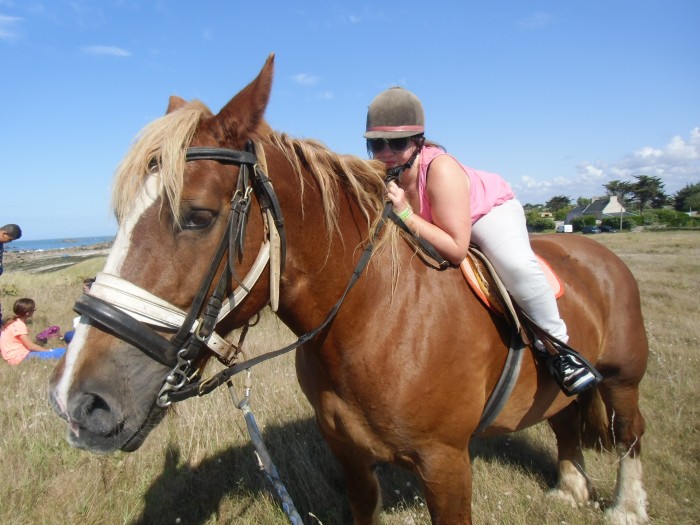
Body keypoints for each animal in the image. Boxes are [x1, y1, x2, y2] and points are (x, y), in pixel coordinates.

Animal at [49, 55, 648, 520]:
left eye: (197, 216)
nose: (77, 402)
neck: (371, 320)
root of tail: (600, 254)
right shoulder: (350, 457)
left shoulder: (447, 464)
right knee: (565, 419)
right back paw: (569, 489)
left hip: (623, 378)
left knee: (629, 433)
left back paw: (626, 508)